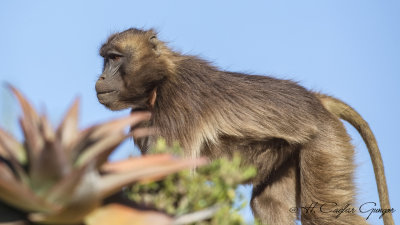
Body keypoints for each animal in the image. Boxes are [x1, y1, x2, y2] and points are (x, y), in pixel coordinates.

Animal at [95, 28, 392, 225]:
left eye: (115, 58)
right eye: (105, 59)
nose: (100, 79)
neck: (160, 80)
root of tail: (317, 100)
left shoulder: (177, 103)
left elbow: (175, 185)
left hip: (325, 142)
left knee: (321, 214)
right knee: (267, 204)